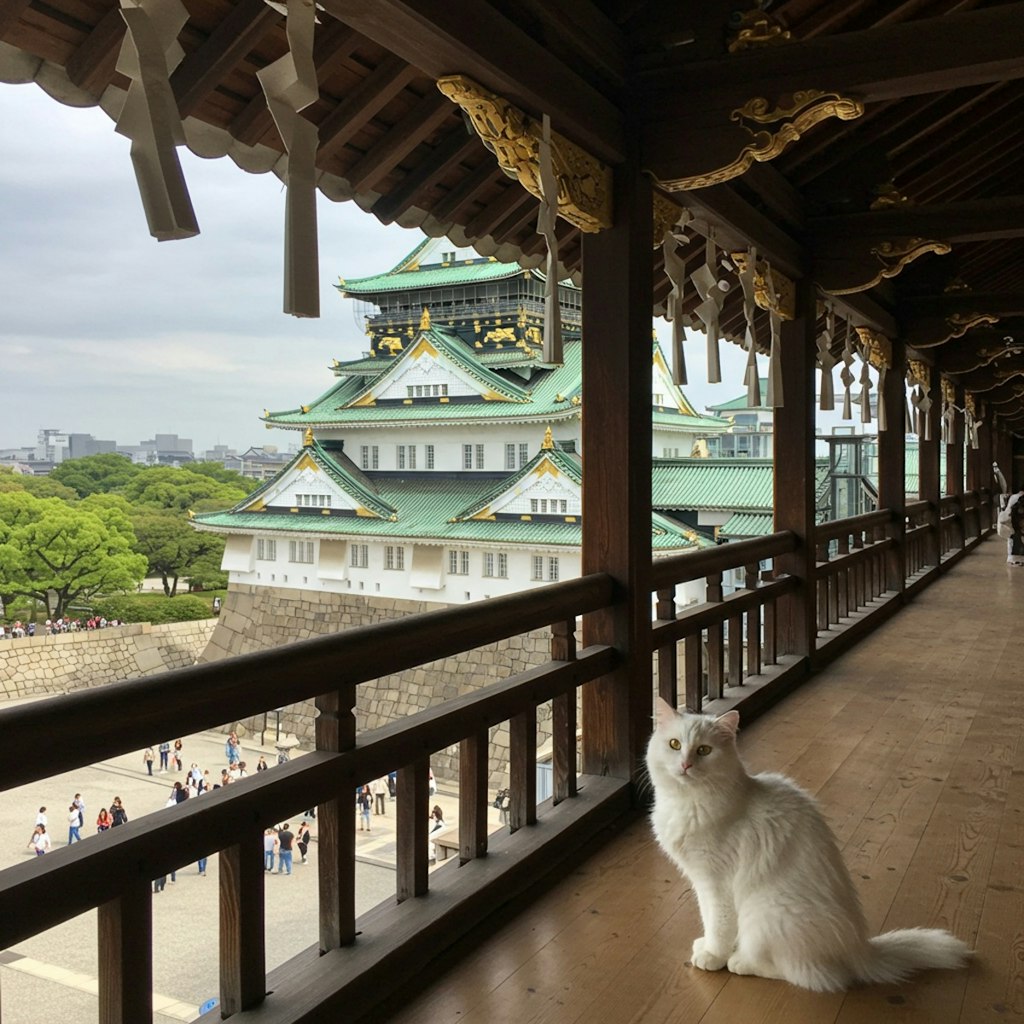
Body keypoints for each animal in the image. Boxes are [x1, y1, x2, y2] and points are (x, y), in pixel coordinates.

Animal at [643, 700, 970, 987]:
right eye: (675, 745)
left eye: (704, 750)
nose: (686, 764)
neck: (686, 803)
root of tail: (860, 948)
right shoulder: (700, 882)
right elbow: (707, 917)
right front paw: (706, 946)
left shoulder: (716, 884)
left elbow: (718, 924)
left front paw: (712, 955)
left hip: (766, 913)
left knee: (806, 975)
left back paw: (741, 962)